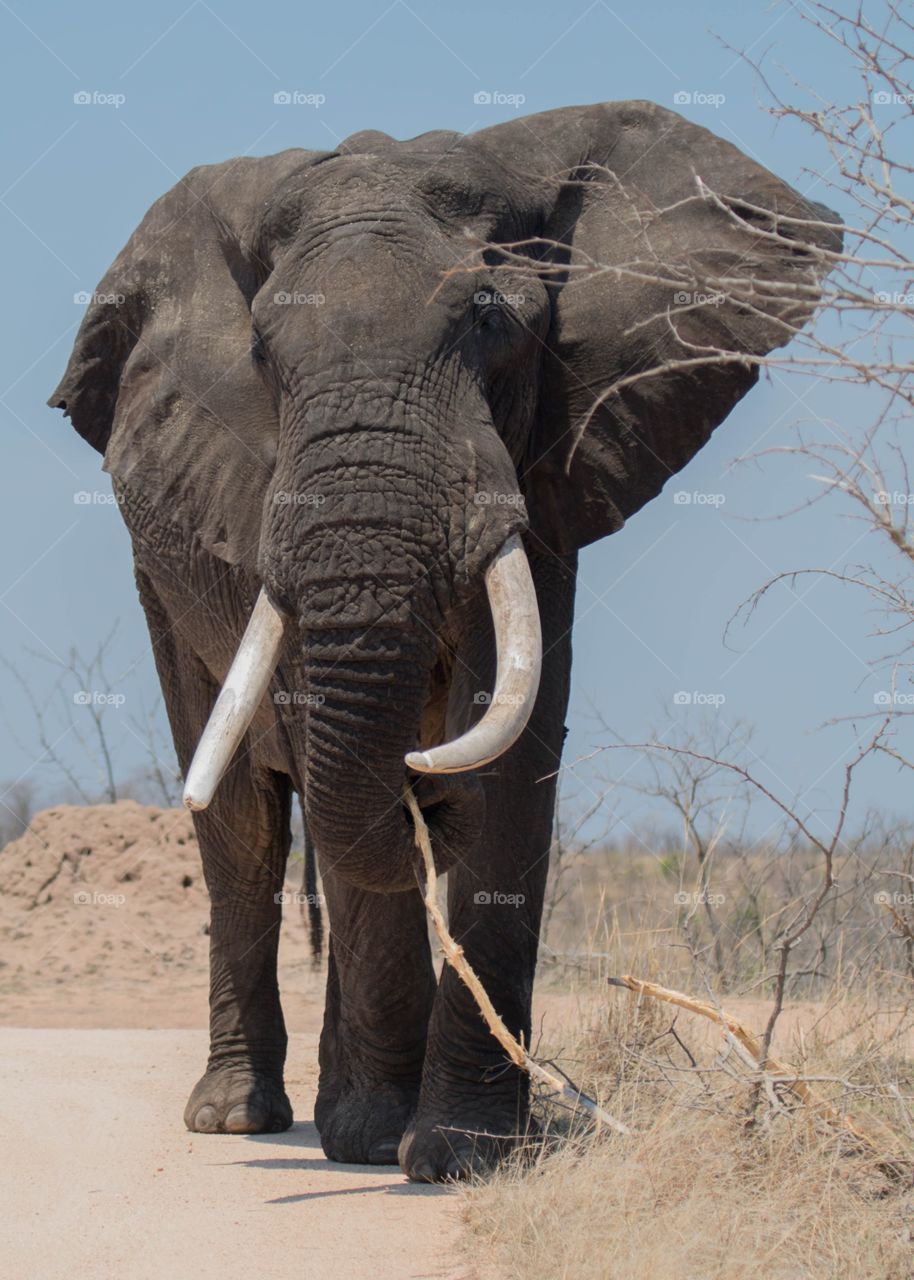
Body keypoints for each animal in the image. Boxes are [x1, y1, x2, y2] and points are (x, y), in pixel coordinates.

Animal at [50, 100, 839, 1182]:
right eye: (261, 354)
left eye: (490, 321)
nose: (422, 785)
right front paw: (382, 1138)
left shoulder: (548, 463)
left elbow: (513, 749)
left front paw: (465, 1153)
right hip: (158, 583)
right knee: (242, 829)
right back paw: (241, 1117)